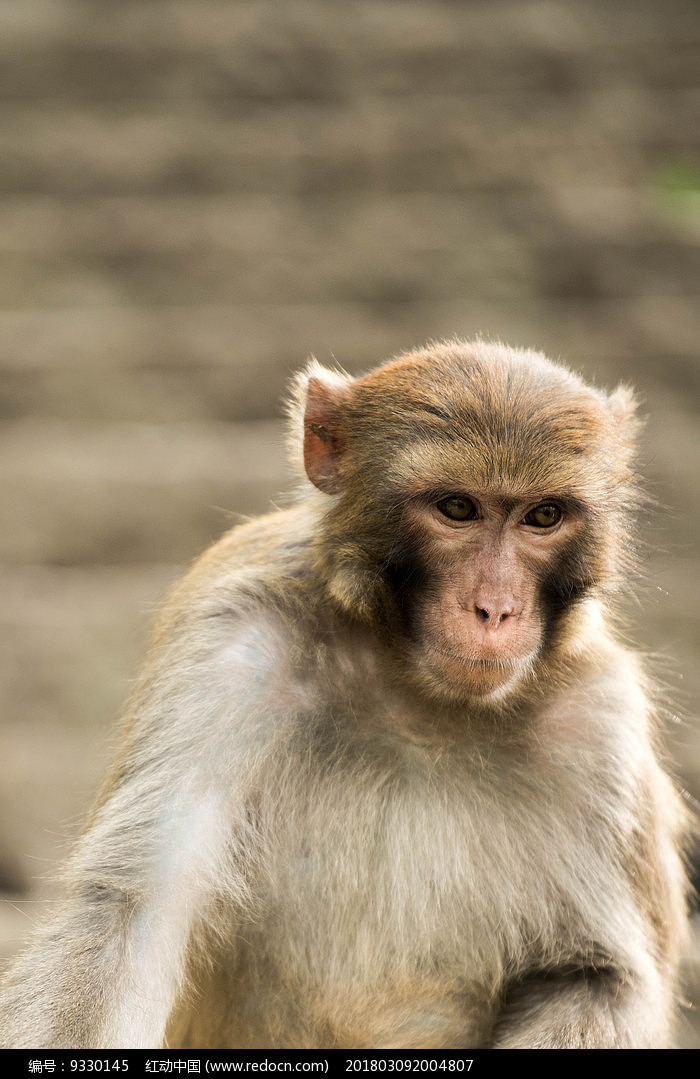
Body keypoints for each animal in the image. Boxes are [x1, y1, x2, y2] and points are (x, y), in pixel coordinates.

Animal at [0, 336, 685, 1044]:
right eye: (457, 508)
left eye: (543, 516)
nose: (495, 610)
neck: (421, 696)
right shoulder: (233, 642)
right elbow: (133, 913)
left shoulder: (599, 721)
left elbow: (597, 976)